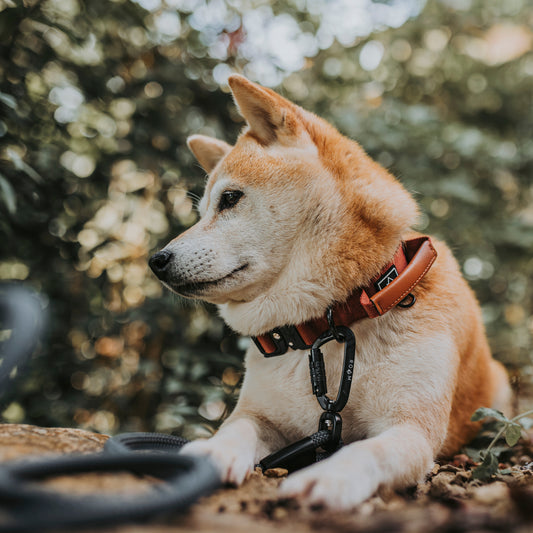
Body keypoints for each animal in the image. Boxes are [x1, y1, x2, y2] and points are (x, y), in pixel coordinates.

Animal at [150, 74, 512, 508]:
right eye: (202, 211)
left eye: (230, 198)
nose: (156, 259)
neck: (331, 320)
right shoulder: (259, 416)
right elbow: (236, 430)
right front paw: (211, 452)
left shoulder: (411, 429)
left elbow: (367, 450)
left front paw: (331, 475)